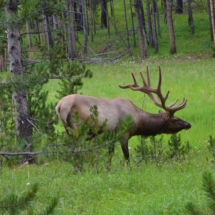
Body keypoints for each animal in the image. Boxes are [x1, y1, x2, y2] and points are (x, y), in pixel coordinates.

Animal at [55, 67, 191, 161]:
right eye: (175, 119)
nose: (188, 124)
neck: (137, 121)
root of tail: (59, 106)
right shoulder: (123, 134)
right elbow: (127, 157)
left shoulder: (111, 137)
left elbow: (110, 156)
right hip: (78, 129)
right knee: (75, 149)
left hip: (69, 131)